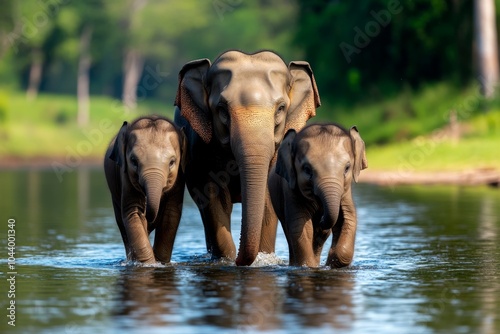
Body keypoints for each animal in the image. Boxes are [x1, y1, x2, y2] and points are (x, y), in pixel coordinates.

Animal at [104, 116, 187, 264]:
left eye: (172, 162)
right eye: (133, 161)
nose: (147, 212)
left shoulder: (179, 178)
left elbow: (171, 213)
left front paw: (161, 262)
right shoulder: (125, 177)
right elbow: (133, 212)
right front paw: (148, 264)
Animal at [174, 49, 318, 264]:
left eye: (281, 108)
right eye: (221, 109)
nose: (239, 260)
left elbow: (268, 200)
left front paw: (263, 259)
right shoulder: (200, 147)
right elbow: (213, 197)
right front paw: (227, 260)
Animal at [270, 124, 368, 268]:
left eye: (347, 168)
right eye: (307, 169)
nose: (321, 218)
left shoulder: (345, 193)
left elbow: (348, 218)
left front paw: (331, 262)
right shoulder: (291, 191)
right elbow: (301, 225)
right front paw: (309, 266)